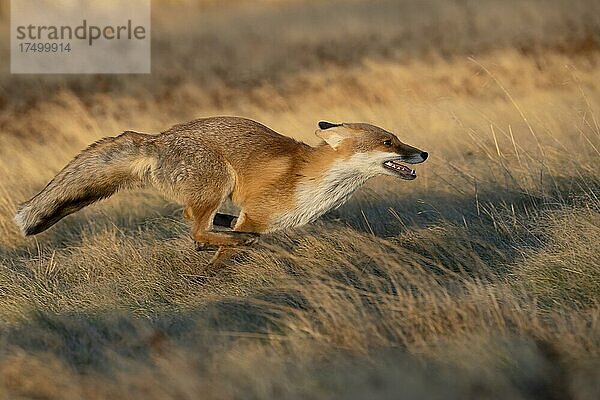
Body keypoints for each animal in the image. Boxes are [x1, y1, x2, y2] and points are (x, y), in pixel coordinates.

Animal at [14, 115, 426, 266]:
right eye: (389, 142)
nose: (423, 153)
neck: (313, 180)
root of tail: (156, 139)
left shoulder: (262, 217)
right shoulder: (257, 214)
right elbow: (223, 255)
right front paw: (211, 273)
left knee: (195, 222)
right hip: (217, 182)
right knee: (197, 230)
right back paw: (224, 238)